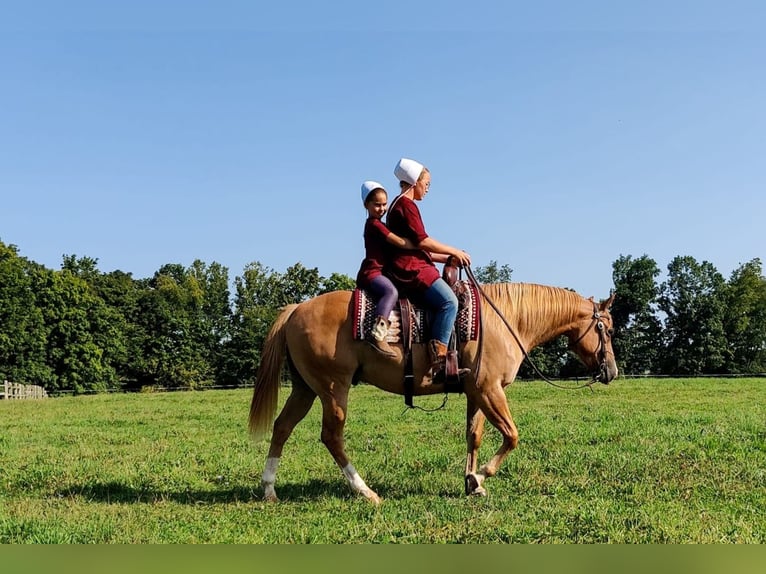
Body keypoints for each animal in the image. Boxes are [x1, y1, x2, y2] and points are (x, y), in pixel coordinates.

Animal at [249, 282, 620, 504]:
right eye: (608, 329)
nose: (612, 372)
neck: (506, 320)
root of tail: (296, 309)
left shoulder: (476, 393)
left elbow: (474, 436)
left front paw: (472, 482)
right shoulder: (489, 390)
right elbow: (512, 436)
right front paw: (481, 475)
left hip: (305, 389)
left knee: (282, 427)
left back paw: (269, 490)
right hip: (332, 389)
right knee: (331, 437)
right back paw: (365, 491)